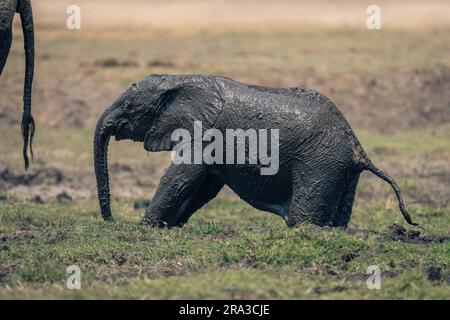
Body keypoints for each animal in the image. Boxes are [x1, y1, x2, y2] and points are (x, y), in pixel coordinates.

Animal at [93, 74, 420, 229]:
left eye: (129, 106)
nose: (111, 221)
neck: (176, 79)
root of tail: (358, 148)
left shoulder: (205, 131)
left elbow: (182, 178)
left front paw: (143, 228)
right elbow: (203, 187)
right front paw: (167, 227)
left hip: (320, 163)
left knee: (302, 215)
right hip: (343, 171)